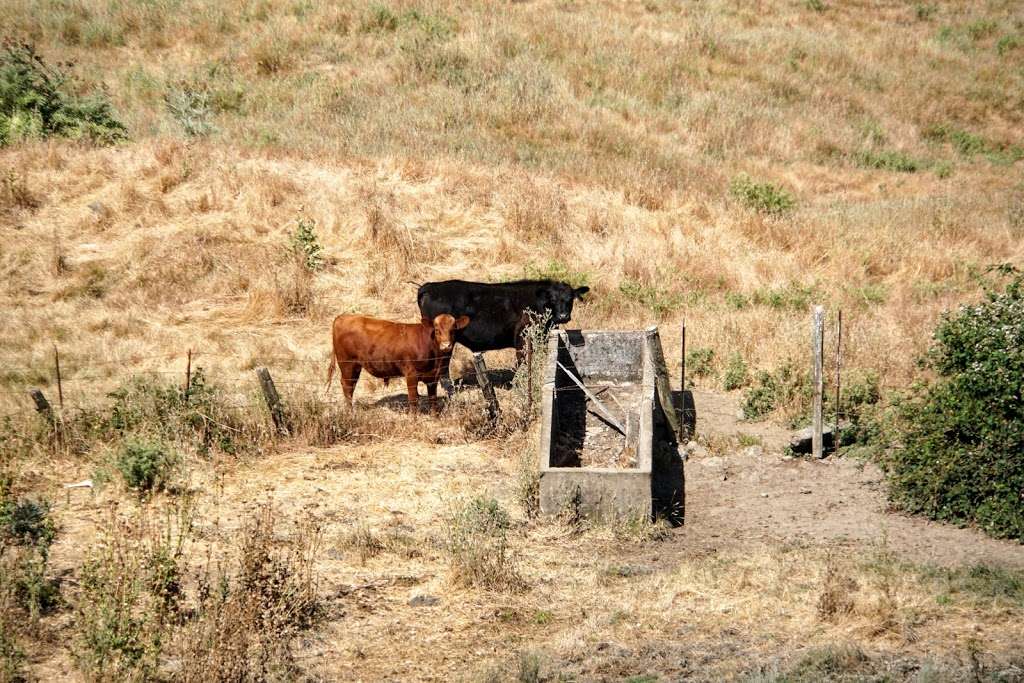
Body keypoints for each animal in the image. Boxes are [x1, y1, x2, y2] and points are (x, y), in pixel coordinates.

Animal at [325, 313, 468, 411]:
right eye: (437, 330)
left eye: (453, 330)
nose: (446, 346)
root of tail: (343, 316)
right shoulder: (411, 375)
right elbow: (413, 400)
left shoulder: (433, 377)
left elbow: (432, 399)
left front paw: (434, 417)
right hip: (347, 364)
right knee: (347, 386)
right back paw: (350, 411)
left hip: (354, 367)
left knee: (351, 386)